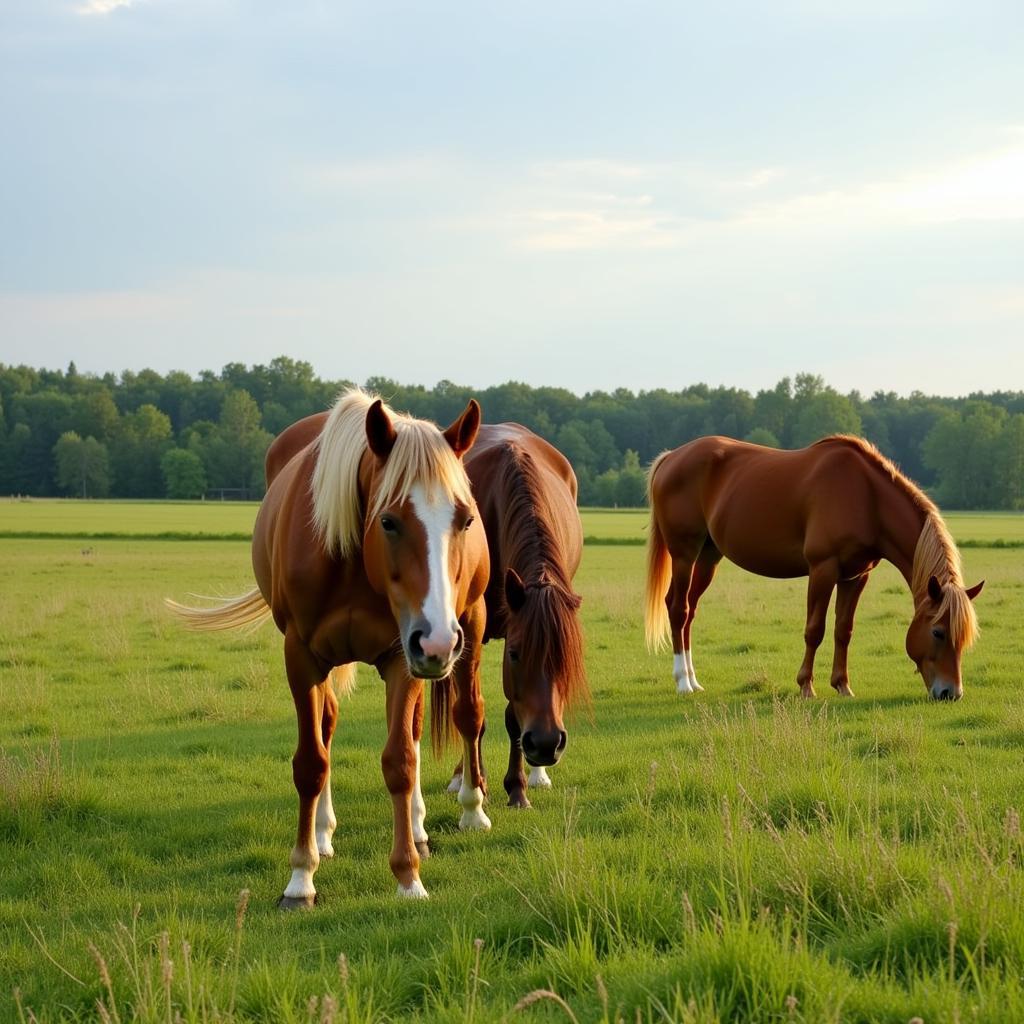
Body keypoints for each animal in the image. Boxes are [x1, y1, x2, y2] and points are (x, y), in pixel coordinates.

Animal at [165, 391, 489, 905]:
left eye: (466, 519)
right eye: (389, 521)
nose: (438, 639)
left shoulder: (402, 658)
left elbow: (400, 760)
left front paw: (408, 876)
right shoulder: (302, 656)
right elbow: (311, 762)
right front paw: (301, 877)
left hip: (467, 628)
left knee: (465, 715)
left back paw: (466, 812)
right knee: (330, 726)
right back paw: (323, 833)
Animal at [446, 423, 589, 806]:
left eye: (567, 656)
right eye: (514, 654)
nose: (545, 744)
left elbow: (513, 716)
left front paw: (519, 786)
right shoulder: (472, 634)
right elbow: (473, 712)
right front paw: (477, 782)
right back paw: (461, 776)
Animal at [647, 432, 983, 704]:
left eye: (965, 636)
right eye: (938, 632)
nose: (950, 693)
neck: (866, 497)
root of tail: (671, 457)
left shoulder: (856, 576)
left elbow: (843, 630)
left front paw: (843, 686)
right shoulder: (823, 569)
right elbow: (815, 630)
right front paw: (806, 686)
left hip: (708, 557)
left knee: (689, 611)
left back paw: (694, 680)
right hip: (684, 554)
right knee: (677, 609)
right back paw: (682, 683)